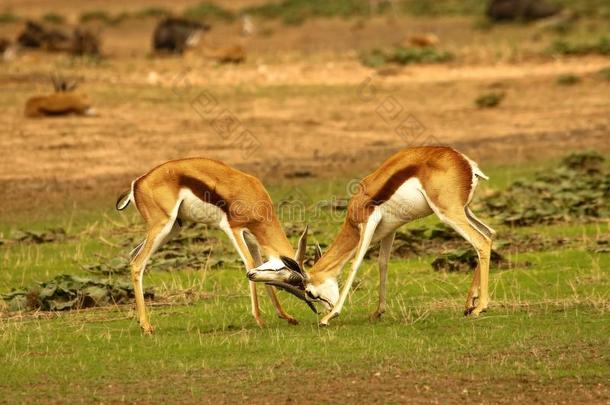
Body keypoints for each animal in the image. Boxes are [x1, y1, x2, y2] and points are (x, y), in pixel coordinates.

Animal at [115, 157, 314, 332]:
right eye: (290, 278)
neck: (251, 193)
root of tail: (137, 183)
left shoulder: (252, 239)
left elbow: (258, 267)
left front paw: (287, 316)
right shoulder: (233, 229)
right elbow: (249, 264)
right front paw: (259, 319)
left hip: (172, 228)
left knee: (133, 255)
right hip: (163, 226)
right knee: (137, 263)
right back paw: (147, 326)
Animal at [247, 145, 494, 326]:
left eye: (310, 292)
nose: (251, 274)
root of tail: (466, 163)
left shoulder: (368, 224)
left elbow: (355, 264)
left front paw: (330, 317)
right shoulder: (390, 229)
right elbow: (383, 263)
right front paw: (378, 312)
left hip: (448, 213)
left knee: (481, 241)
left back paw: (480, 308)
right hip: (464, 210)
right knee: (489, 234)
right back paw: (469, 304)